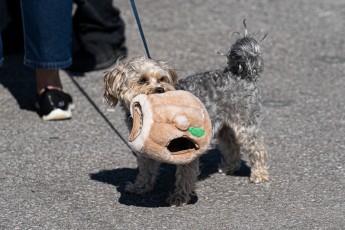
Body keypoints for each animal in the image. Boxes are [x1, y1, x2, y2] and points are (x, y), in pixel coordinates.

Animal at [103, 22, 268, 207]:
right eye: (142, 80)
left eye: (162, 79)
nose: (160, 89)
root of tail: (240, 74)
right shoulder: (146, 148)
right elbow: (146, 169)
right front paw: (140, 187)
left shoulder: (187, 148)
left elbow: (185, 176)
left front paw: (180, 198)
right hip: (224, 126)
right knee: (232, 145)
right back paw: (229, 167)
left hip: (244, 123)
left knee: (258, 147)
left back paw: (259, 174)